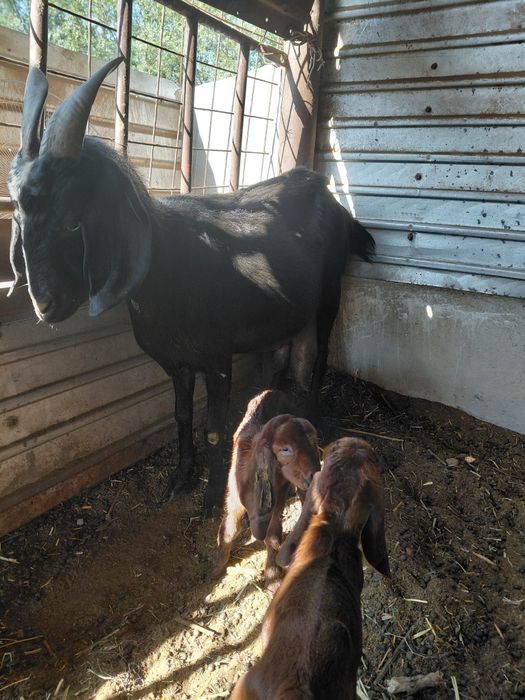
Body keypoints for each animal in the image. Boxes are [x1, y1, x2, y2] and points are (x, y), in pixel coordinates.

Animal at [8, 59, 375, 515]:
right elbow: (181, 416)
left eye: (73, 223)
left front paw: (211, 501)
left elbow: (214, 430)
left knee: (319, 355)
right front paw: (179, 479)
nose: (44, 304)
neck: (167, 272)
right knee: (282, 354)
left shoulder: (217, 360)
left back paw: (316, 424)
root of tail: (336, 204)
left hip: (329, 295)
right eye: (18, 217)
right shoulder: (175, 361)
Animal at [212, 389, 320, 584]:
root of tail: (273, 391)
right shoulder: (233, 498)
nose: (315, 472)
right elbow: (229, 530)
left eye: (313, 443)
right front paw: (216, 568)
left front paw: (273, 576)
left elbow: (272, 536)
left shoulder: (277, 501)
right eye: (285, 449)